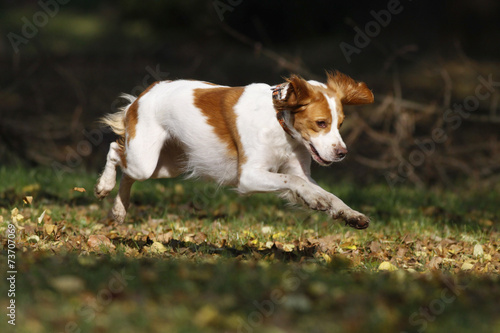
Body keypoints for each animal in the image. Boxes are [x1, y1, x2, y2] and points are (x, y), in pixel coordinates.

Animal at [95, 71, 374, 228]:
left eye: (340, 124)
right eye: (321, 123)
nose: (342, 153)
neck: (279, 123)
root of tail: (146, 91)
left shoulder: (299, 170)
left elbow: (325, 192)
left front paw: (349, 214)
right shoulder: (249, 176)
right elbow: (293, 180)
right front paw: (316, 199)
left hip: (167, 165)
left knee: (127, 172)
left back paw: (119, 210)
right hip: (144, 159)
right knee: (114, 150)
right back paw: (104, 186)